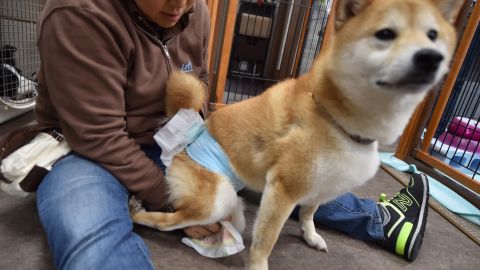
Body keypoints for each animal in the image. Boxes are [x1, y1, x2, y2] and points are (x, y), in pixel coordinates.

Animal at [133, 1, 464, 268]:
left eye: (432, 35)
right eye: (385, 34)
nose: (430, 57)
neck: (336, 118)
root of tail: (190, 138)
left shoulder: (321, 187)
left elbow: (309, 214)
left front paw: (311, 235)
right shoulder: (283, 190)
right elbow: (265, 242)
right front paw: (259, 267)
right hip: (217, 199)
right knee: (166, 221)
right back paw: (137, 212)